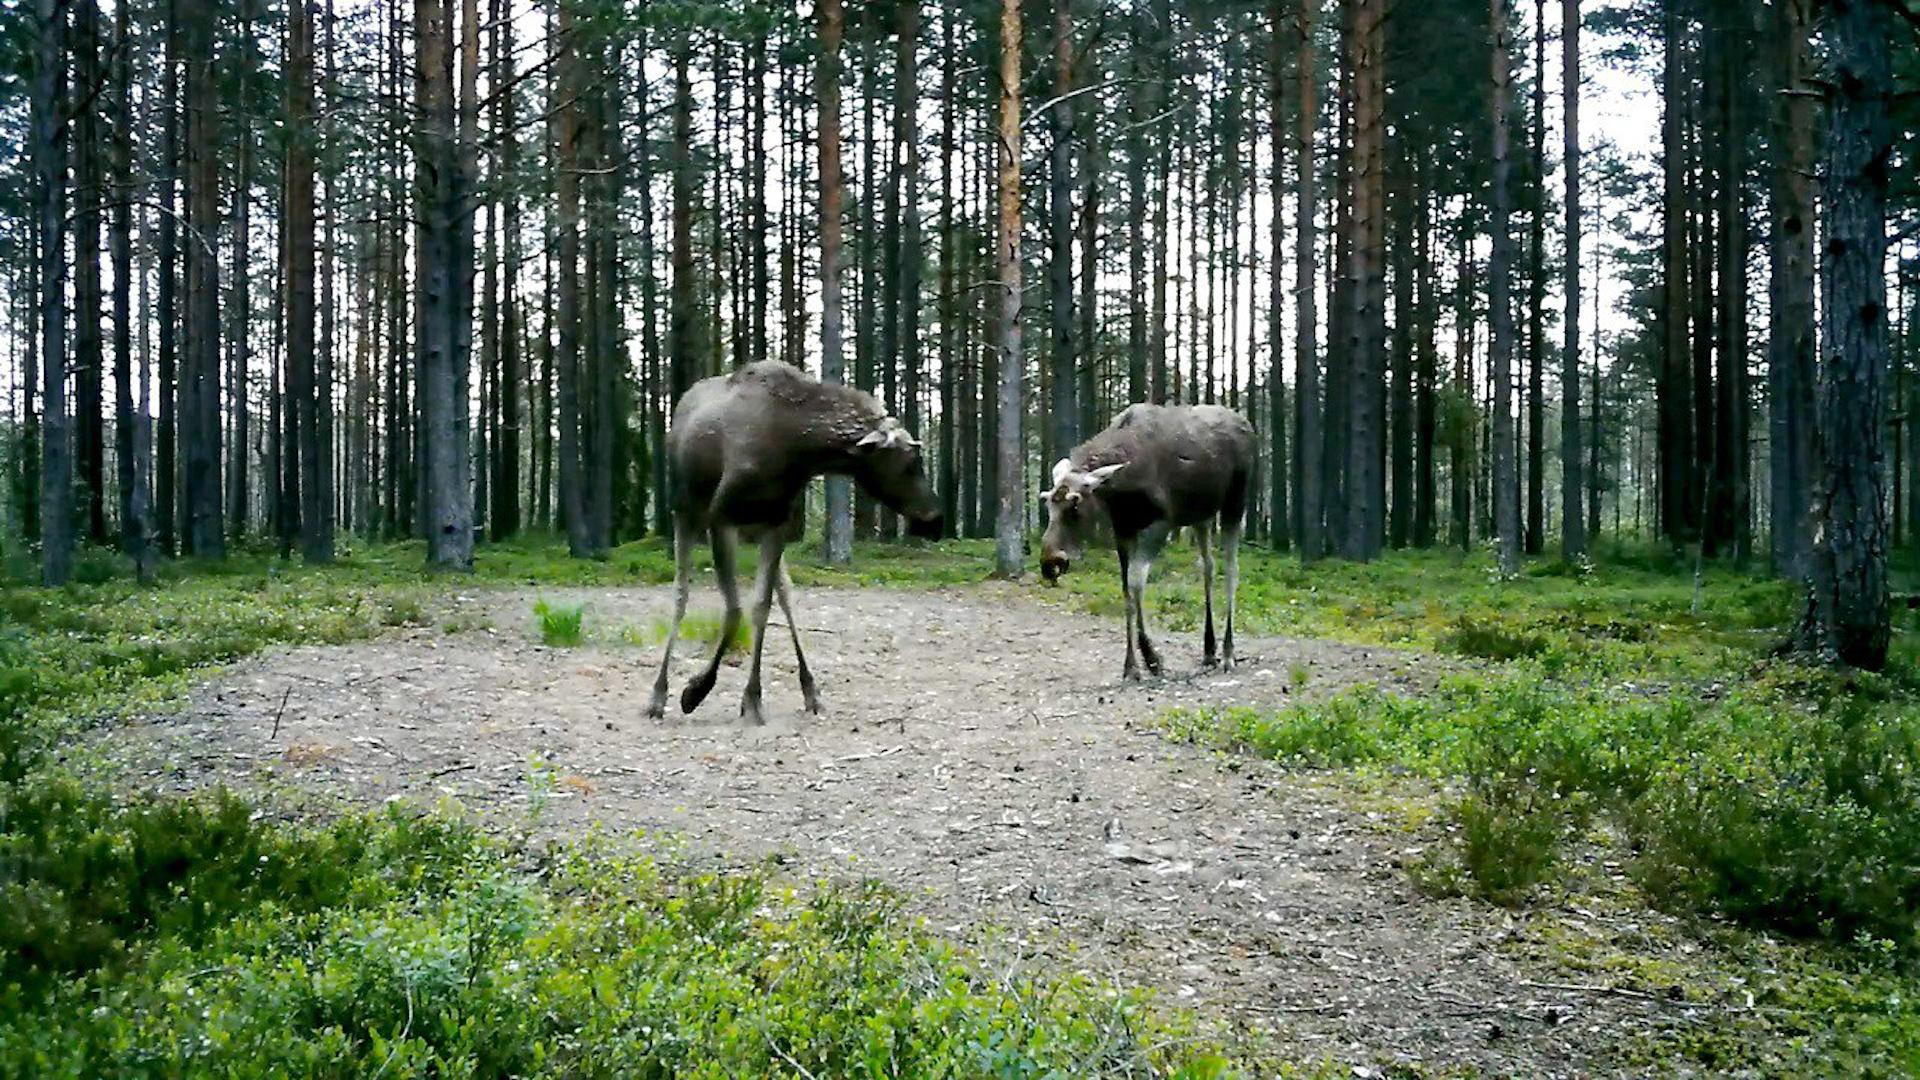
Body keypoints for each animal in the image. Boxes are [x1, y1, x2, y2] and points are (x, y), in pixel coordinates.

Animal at [648, 359, 940, 722]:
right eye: (910, 463)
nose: (936, 519)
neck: (798, 450)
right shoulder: (721, 518)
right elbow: (734, 609)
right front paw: (695, 690)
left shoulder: (777, 523)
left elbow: (761, 606)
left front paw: (752, 698)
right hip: (686, 511)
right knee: (680, 593)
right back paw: (658, 694)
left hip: (752, 527)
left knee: (784, 594)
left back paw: (810, 688)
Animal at [1036, 399, 1259, 676]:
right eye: (1046, 502)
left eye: (1074, 505)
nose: (1050, 562)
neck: (1119, 494)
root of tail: (1249, 426)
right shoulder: (1123, 531)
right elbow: (1126, 592)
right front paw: (1131, 665)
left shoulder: (1160, 525)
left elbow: (1136, 584)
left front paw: (1152, 659)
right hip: (1201, 515)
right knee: (1208, 567)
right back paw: (1209, 649)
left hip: (1234, 503)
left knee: (1231, 570)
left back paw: (1228, 653)